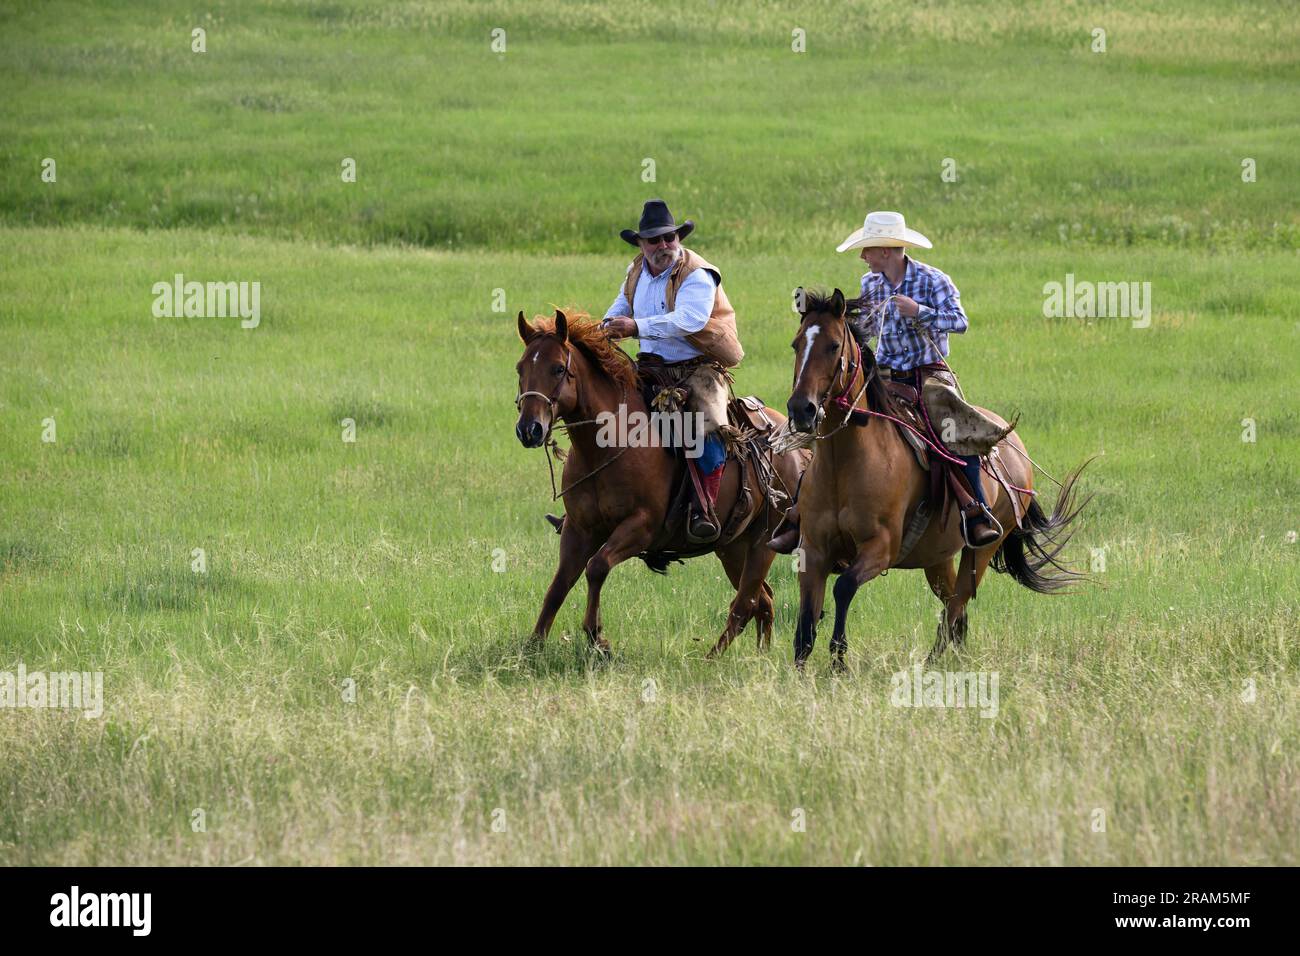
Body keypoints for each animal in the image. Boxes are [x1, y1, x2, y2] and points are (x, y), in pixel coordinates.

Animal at [512, 310, 806, 655]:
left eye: (558, 368)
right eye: (520, 368)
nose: (529, 429)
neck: (604, 445)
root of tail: (794, 448)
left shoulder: (641, 527)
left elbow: (596, 567)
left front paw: (597, 636)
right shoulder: (578, 529)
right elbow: (559, 585)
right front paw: (533, 646)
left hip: (762, 541)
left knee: (745, 603)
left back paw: (712, 659)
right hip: (732, 546)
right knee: (764, 601)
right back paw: (760, 656)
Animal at [780, 287, 1086, 671]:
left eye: (834, 345)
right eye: (795, 344)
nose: (801, 409)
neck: (845, 464)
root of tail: (1013, 443)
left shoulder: (880, 548)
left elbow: (844, 588)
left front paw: (838, 660)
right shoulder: (812, 550)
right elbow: (806, 621)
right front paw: (800, 670)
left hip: (982, 550)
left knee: (958, 603)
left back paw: (932, 662)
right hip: (937, 558)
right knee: (954, 604)